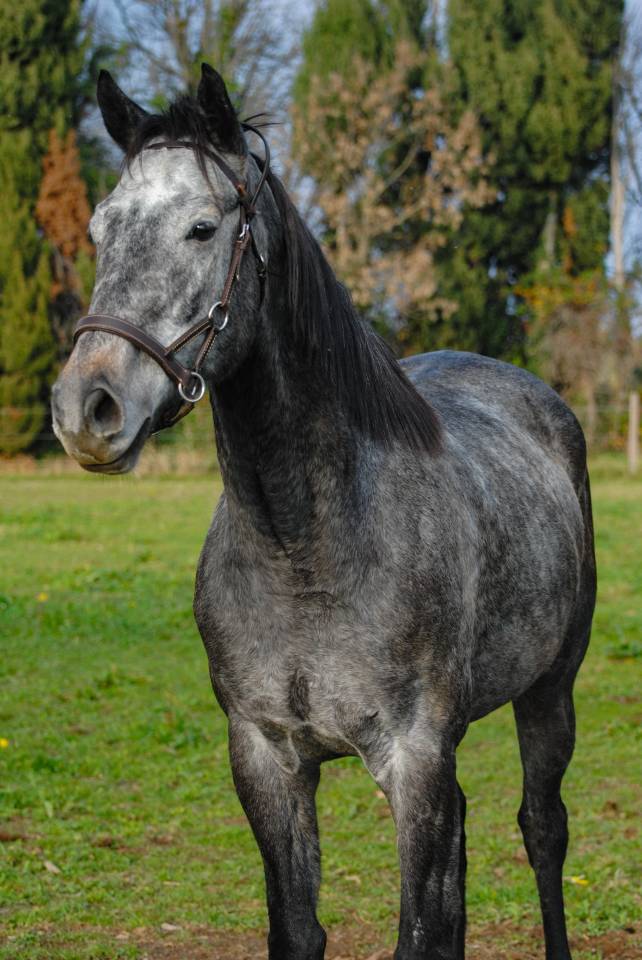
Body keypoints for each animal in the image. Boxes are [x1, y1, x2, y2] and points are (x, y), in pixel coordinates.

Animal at [52, 65, 596, 960]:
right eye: (101, 229)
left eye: (203, 228)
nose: (85, 407)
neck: (308, 548)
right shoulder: (267, 759)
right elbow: (306, 929)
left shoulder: (414, 760)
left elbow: (420, 927)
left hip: (551, 690)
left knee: (542, 829)